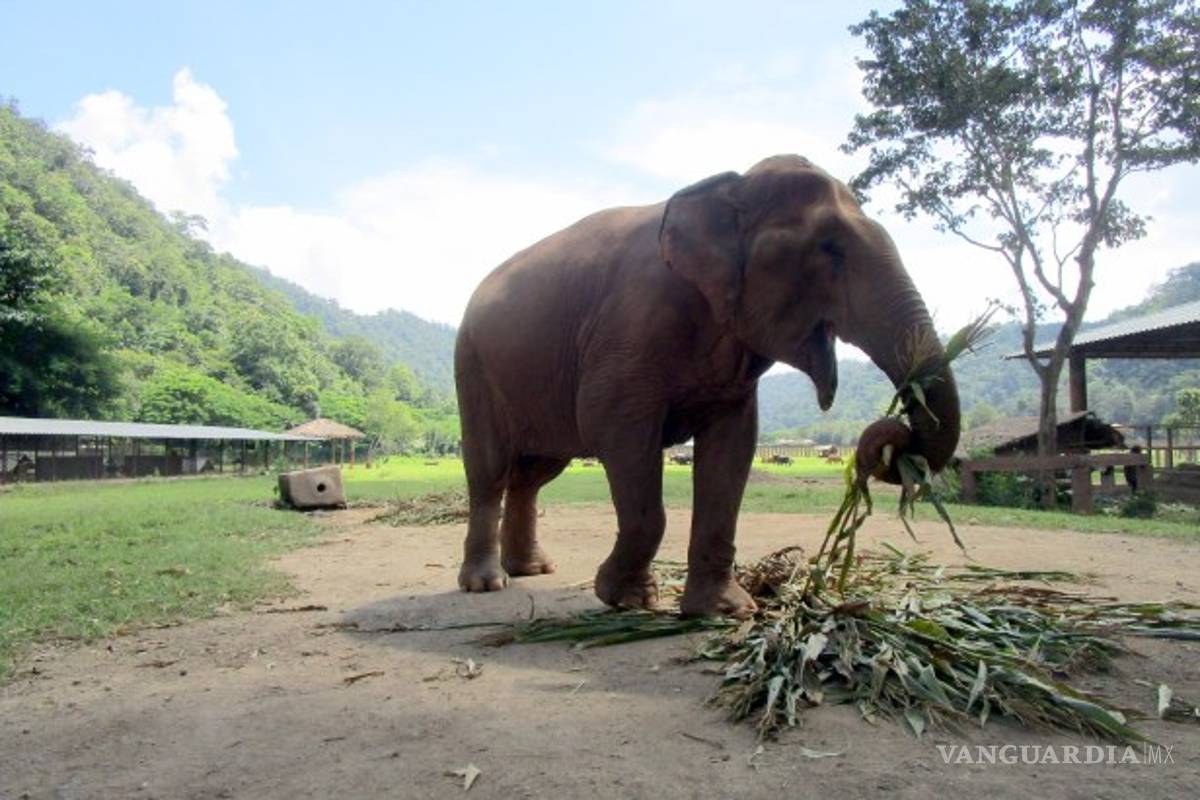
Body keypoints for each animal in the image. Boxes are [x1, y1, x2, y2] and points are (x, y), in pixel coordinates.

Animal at [454, 155, 960, 618]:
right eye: (829, 248)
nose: (895, 432)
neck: (727, 188)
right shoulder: (627, 336)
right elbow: (613, 427)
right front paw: (625, 598)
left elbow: (732, 449)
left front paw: (723, 611)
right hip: (473, 370)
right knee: (490, 473)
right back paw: (487, 584)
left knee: (533, 475)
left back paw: (531, 570)